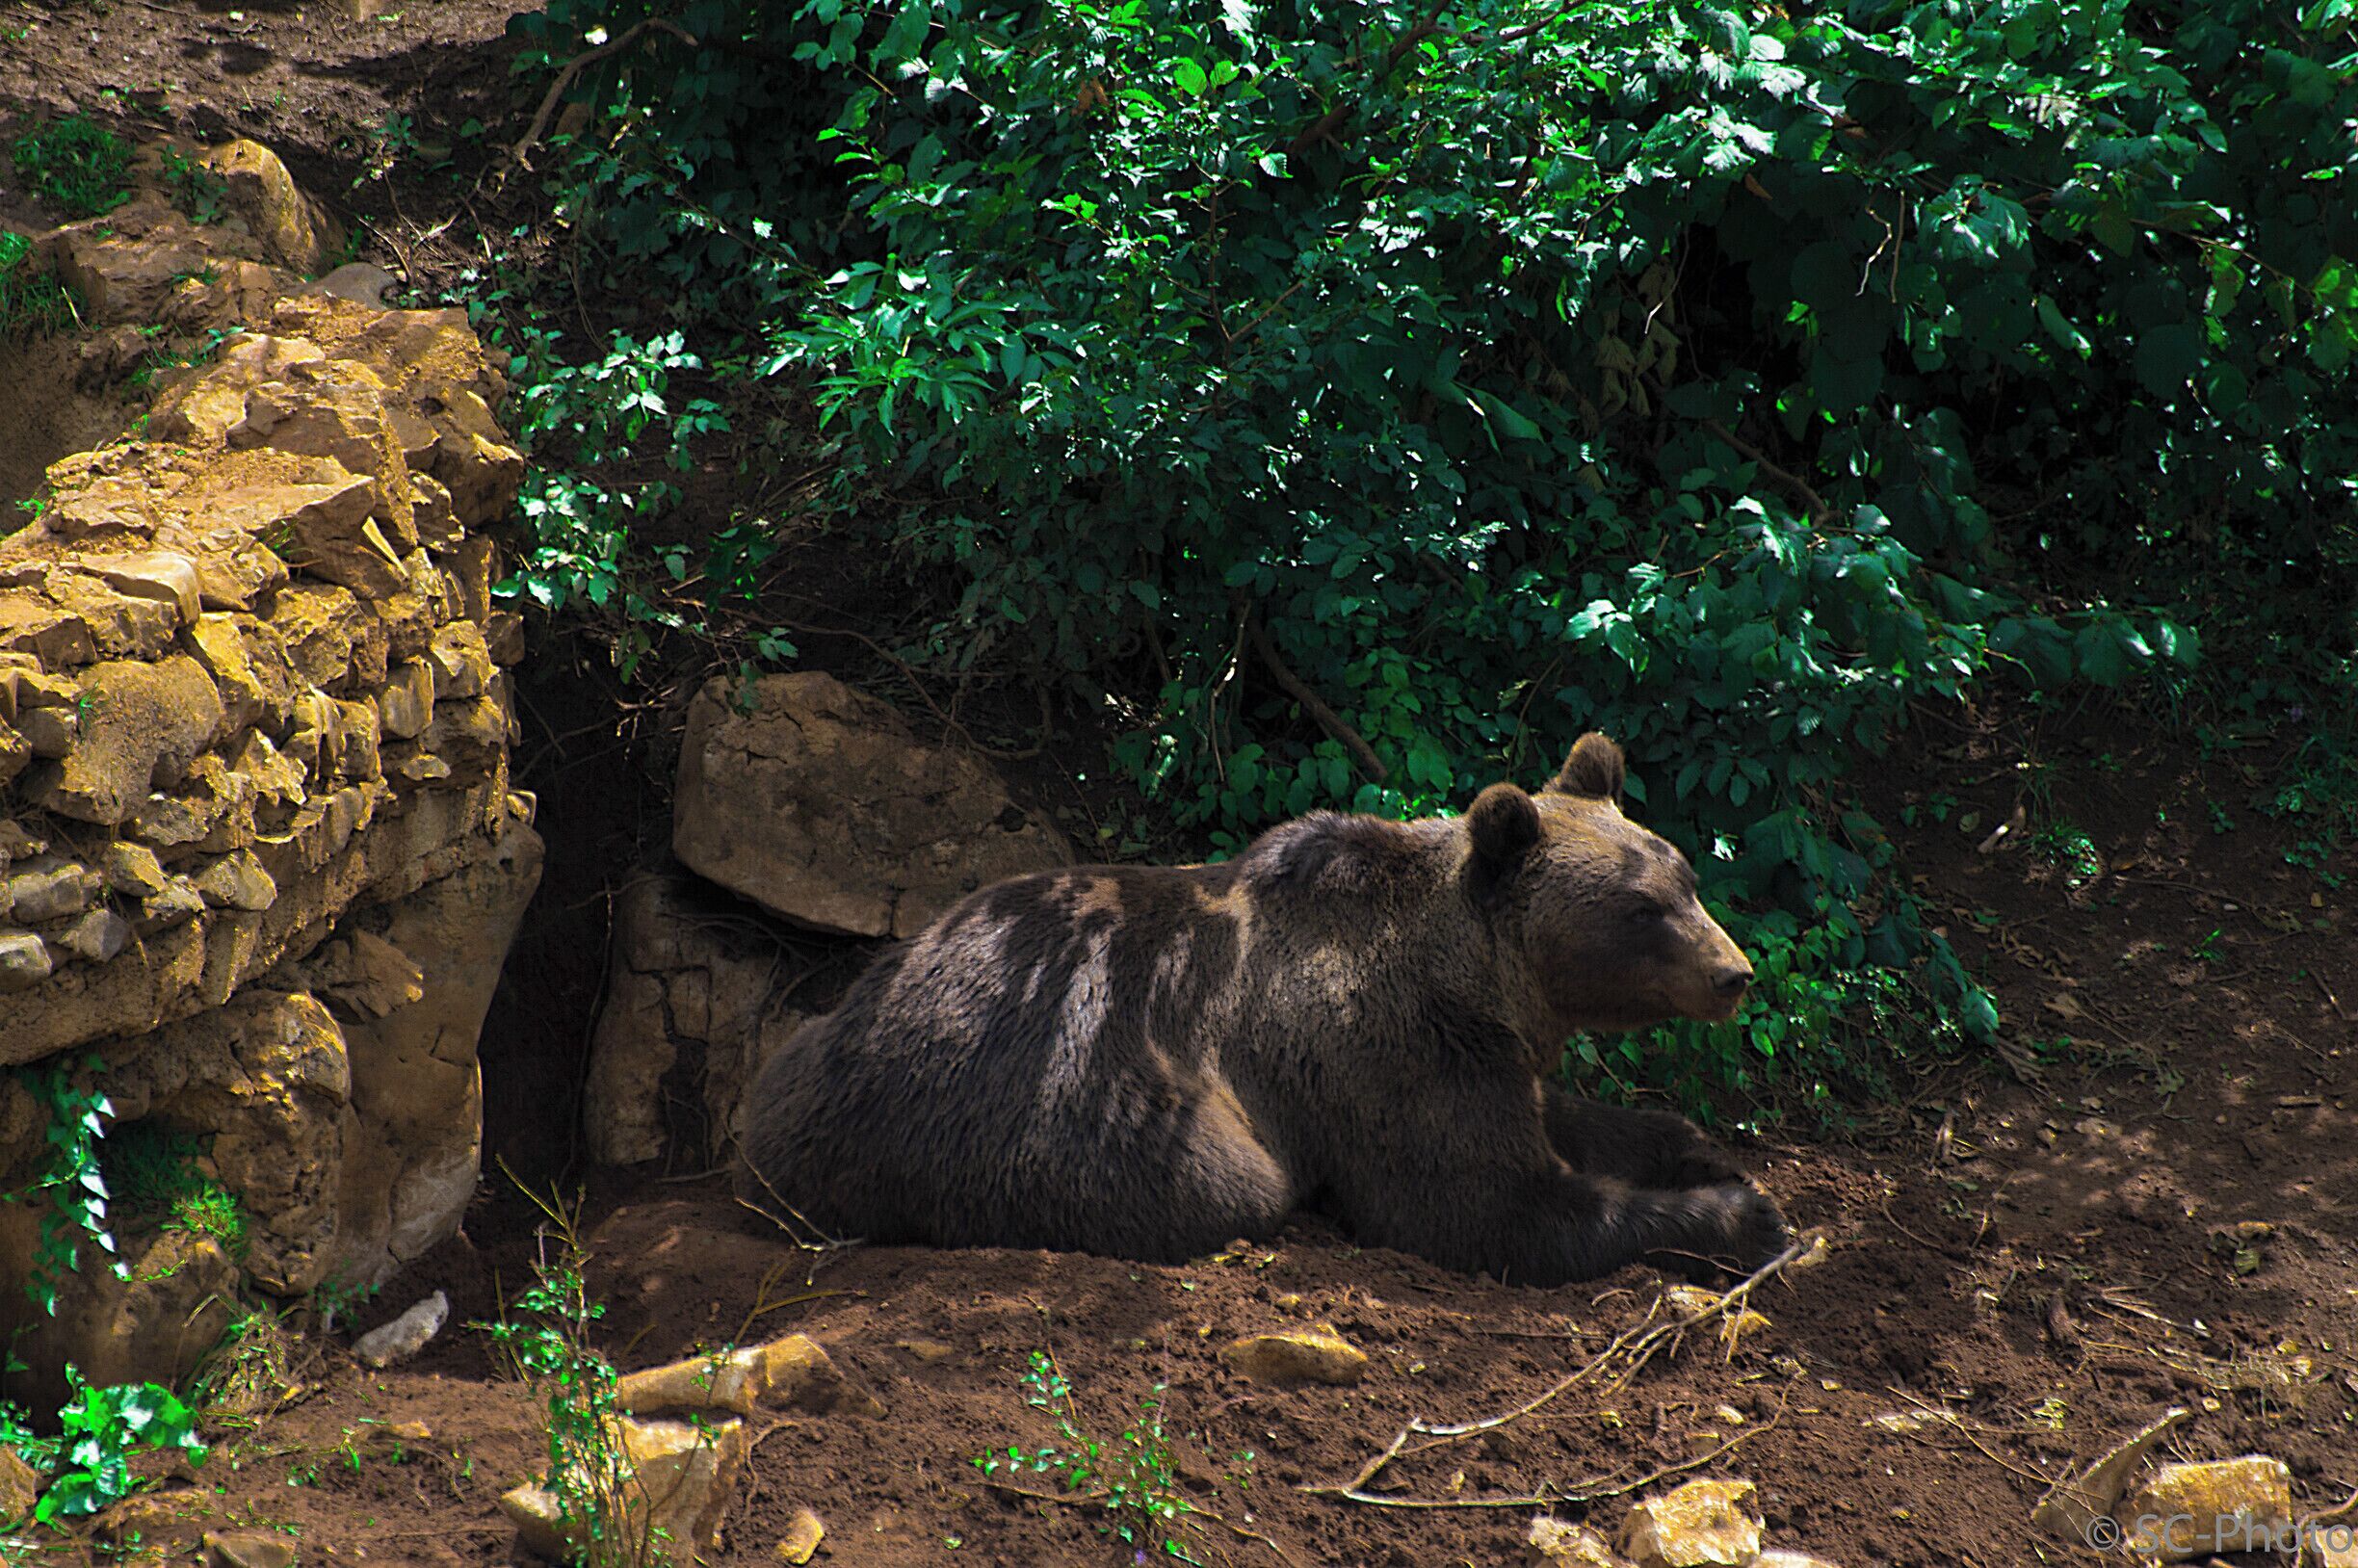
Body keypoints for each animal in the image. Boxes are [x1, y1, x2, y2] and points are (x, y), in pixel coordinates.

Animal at [735, 733, 1790, 1285]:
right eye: (1642, 908)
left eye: (1686, 878)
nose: (1735, 972)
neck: (1470, 976)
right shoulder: (1376, 1052)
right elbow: (1490, 1206)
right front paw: (1745, 1215)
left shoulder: (1482, 1051)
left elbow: (1570, 1118)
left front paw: (1698, 1148)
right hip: (1045, 1099)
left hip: (807, 1050)